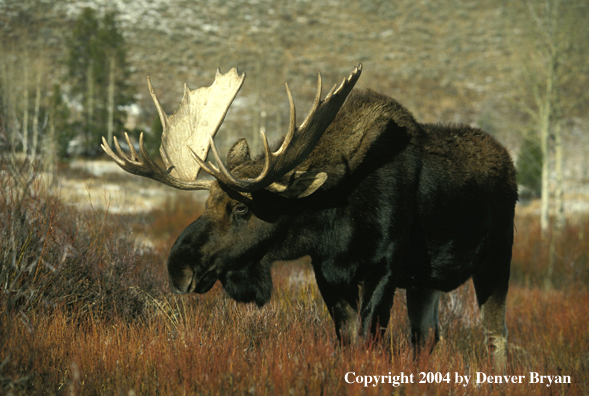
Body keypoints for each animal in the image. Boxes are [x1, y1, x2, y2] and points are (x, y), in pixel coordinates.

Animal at [101, 65, 516, 368]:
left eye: (241, 208)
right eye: (207, 205)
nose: (178, 267)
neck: (334, 217)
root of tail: (510, 164)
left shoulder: (384, 266)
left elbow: (370, 338)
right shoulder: (328, 272)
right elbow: (348, 339)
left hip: (496, 260)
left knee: (495, 336)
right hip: (423, 282)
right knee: (427, 337)